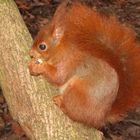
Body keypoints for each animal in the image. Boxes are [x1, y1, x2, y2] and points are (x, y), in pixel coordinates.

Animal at [28, 1, 140, 129]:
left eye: (42, 46)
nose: (30, 53)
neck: (62, 51)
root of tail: (101, 117)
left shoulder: (69, 63)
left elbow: (58, 77)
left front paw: (37, 67)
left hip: (76, 92)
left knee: (74, 114)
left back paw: (61, 102)